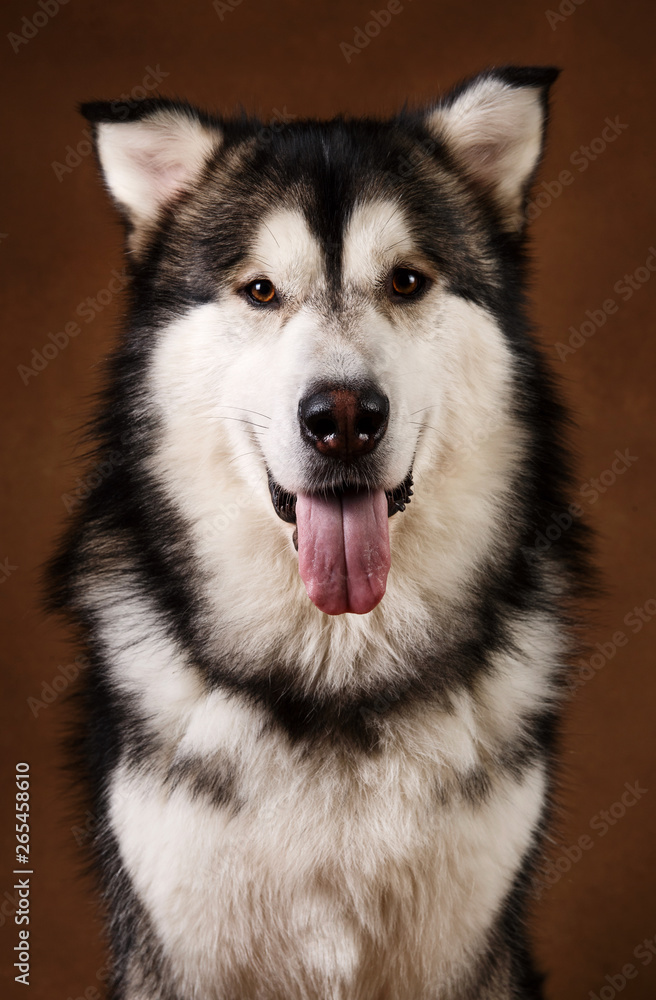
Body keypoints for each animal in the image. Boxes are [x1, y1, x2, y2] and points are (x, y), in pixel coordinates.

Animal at [47, 66, 588, 996]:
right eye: (261, 289)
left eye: (406, 281)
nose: (342, 419)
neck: (337, 675)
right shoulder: (181, 948)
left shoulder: (462, 951)